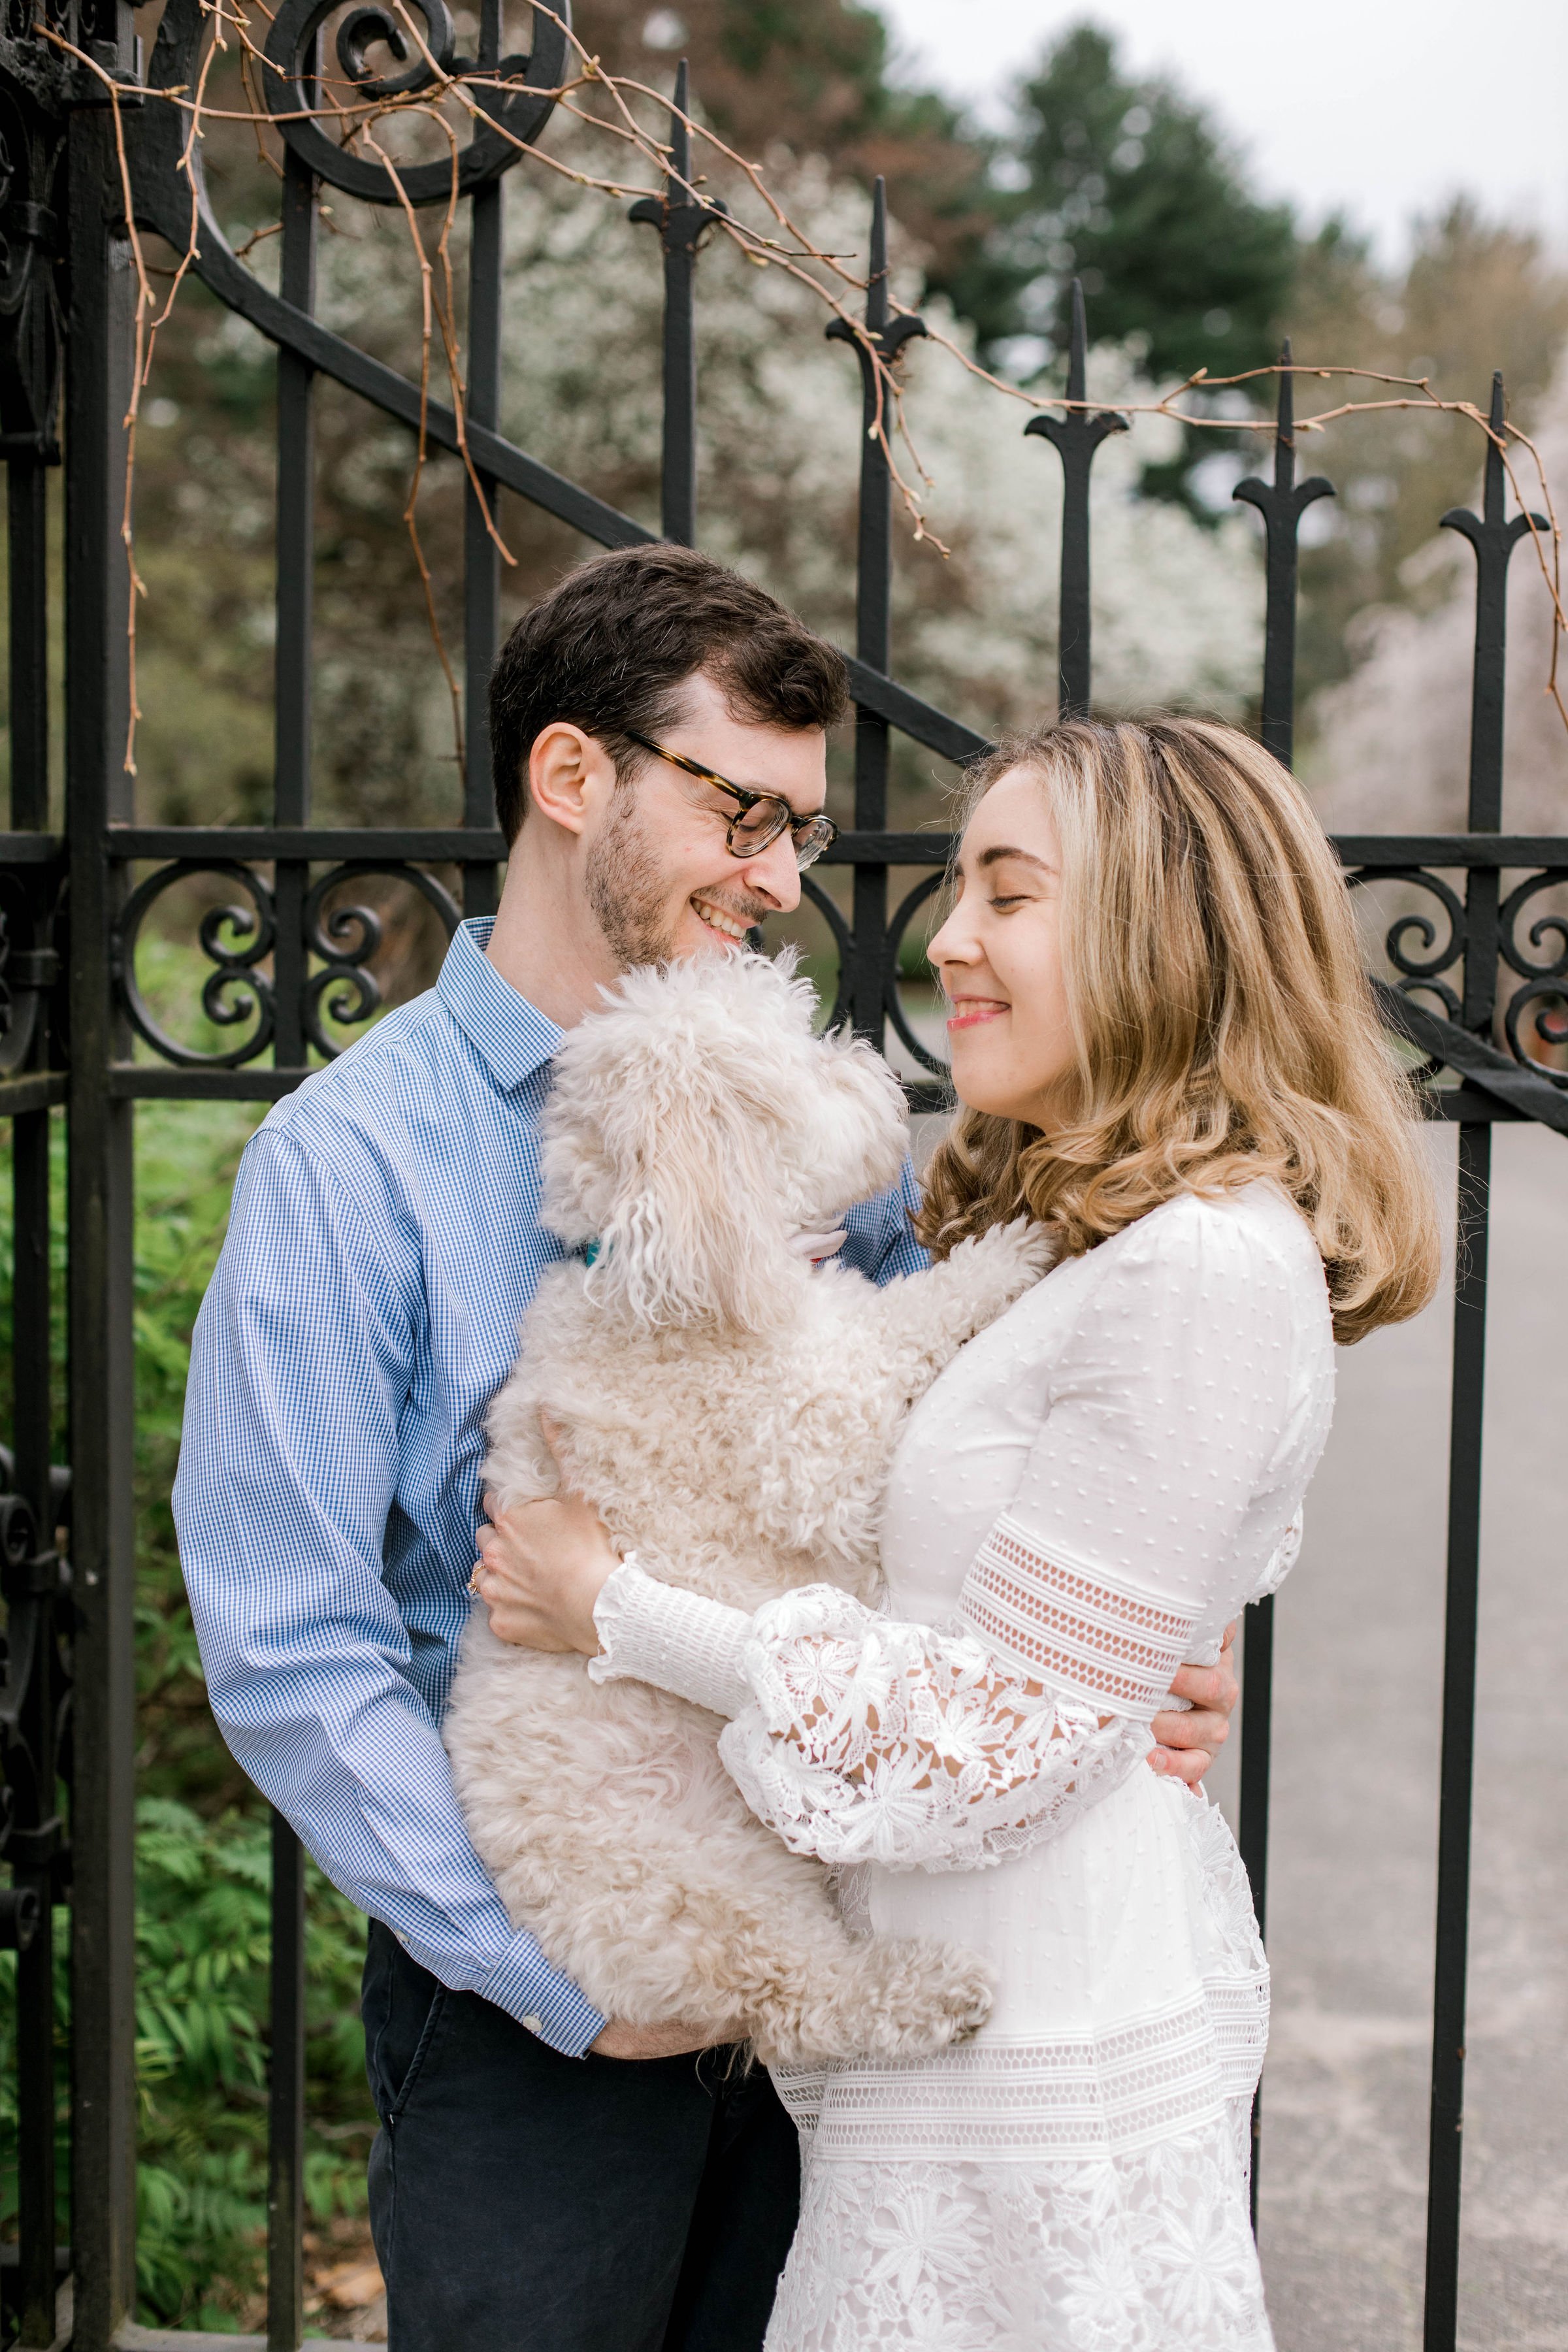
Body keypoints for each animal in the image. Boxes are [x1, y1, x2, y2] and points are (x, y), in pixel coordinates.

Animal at [444, 950, 1053, 2060]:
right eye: (794, 1072)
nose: (881, 1074)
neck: (659, 1282)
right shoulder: (816, 1446)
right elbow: (903, 1328)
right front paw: (1003, 1258)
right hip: (716, 1893)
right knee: (806, 2002)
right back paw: (929, 1993)